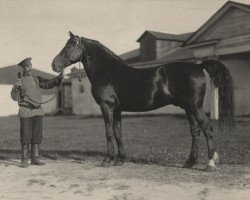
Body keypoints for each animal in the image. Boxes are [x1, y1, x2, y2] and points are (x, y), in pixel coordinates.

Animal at [51, 31, 234, 172]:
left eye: (70, 45)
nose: (54, 65)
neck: (107, 71)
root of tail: (198, 66)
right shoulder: (117, 109)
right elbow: (118, 132)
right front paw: (120, 160)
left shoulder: (107, 106)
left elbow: (109, 132)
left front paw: (107, 160)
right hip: (188, 108)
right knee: (195, 131)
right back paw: (189, 162)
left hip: (195, 106)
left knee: (207, 128)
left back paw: (210, 163)